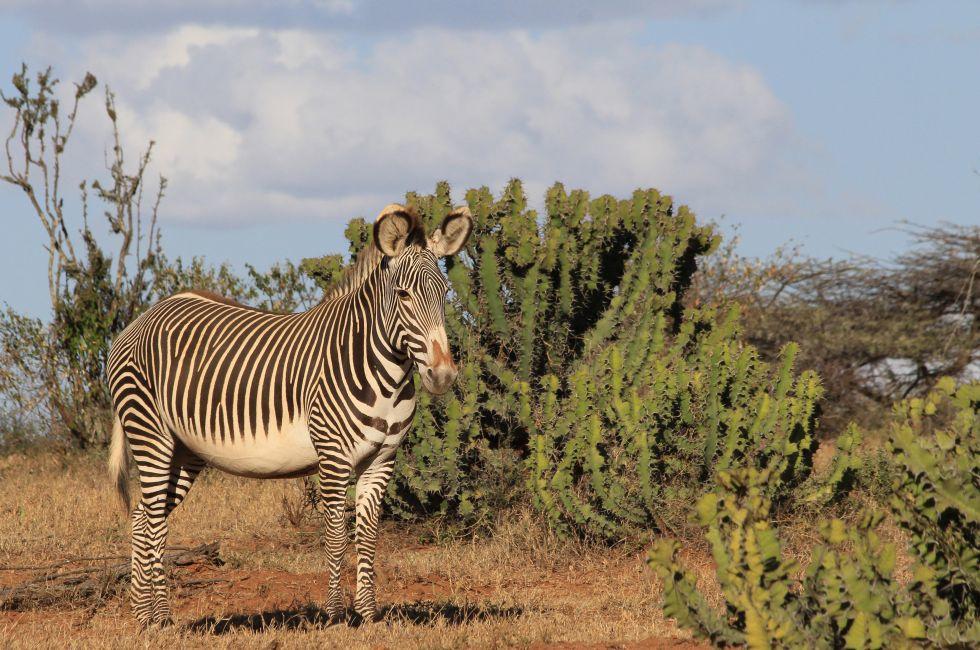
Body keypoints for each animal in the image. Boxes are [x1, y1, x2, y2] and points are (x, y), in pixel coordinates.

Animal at [106, 203, 473, 628]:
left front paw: (368, 616)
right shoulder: (333, 456)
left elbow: (368, 536)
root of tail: (144, 316)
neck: (382, 370)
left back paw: (143, 615)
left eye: (444, 293)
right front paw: (335, 616)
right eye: (403, 295)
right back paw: (162, 617)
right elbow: (336, 535)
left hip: (185, 452)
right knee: (154, 523)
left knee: (141, 517)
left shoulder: (383, 459)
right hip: (151, 434)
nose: (443, 375)